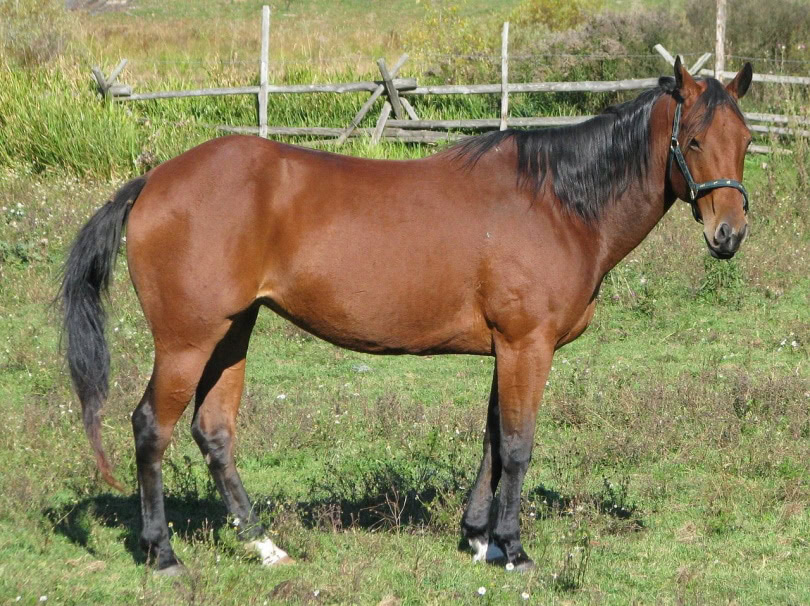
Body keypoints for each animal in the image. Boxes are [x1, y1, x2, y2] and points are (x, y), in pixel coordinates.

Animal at [60, 58, 753, 574]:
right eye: (693, 140)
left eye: (745, 142)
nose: (729, 234)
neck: (556, 202)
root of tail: (152, 183)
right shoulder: (528, 344)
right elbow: (518, 445)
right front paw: (514, 549)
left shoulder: (506, 348)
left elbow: (492, 439)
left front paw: (479, 537)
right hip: (187, 340)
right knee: (152, 427)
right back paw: (163, 555)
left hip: (233, 332)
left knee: (214, 432)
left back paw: (263, 544)